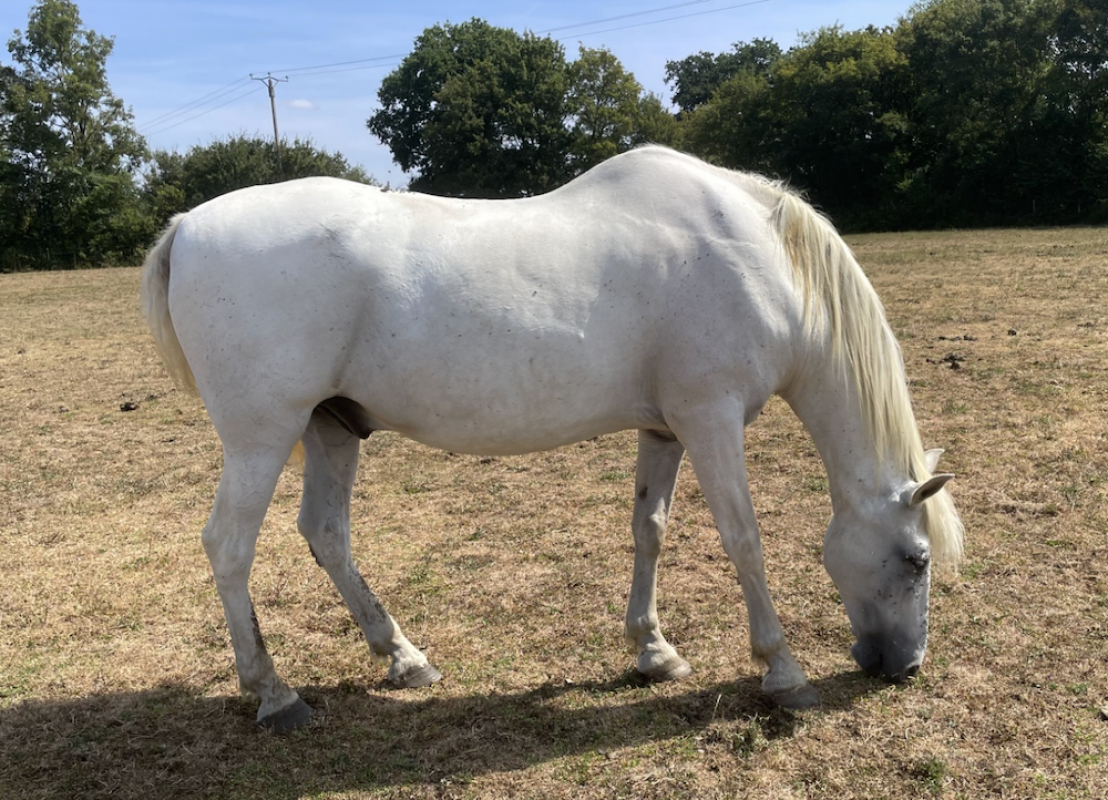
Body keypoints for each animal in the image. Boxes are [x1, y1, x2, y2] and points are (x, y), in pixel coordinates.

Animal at [141, 146, 963, 731]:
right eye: (917, 560)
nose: (906, 666)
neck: (755, 256)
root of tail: (187, 226)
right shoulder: (711, 419)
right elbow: (744, 541)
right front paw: (783, 672)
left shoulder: (665, 427)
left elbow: (650, 529)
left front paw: (653, 651)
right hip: (263, 436)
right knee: (229, 547)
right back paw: (274, 693)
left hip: (332, 427)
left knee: (326, 534)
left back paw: (402, 658)